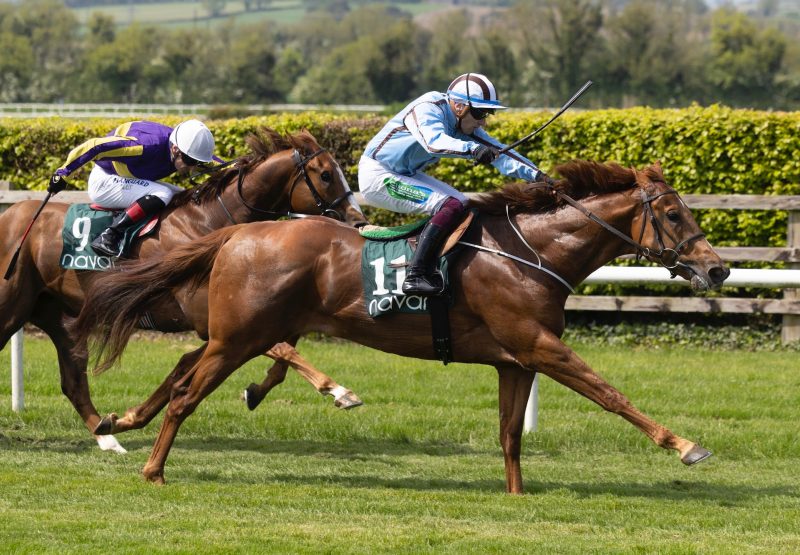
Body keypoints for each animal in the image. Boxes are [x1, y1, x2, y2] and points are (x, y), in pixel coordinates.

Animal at [0, 128, 368, 454]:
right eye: (325, 175)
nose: (358, 220)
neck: (208, 224)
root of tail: (12, 213)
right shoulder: (212, 321)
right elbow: (282, 349)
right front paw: (338, 390)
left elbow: (268, 353)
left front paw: (255, 392)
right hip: (12, 306)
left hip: (57, 314)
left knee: (73, 380)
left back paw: (108, 439)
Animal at [76, 160, 732, 490]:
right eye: (673, 214)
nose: (718, 267)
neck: (530, 253)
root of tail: (237, 232)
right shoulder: (540, 346)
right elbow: (611, 394)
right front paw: (685, 445)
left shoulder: (516, 359)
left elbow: (510, 434)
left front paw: (516, 496)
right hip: (239, 335)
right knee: (187, 392)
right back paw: (153, 467)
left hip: (237, 333)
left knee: (188, 369)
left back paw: (124, 421)